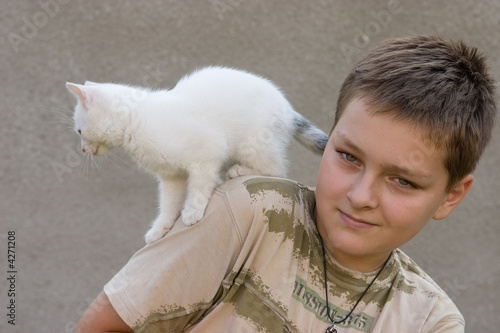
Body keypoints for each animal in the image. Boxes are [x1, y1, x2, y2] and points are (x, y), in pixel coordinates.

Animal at [67, 66, 328, 243]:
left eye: (79, 131)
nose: (82, 149)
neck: (136, 119)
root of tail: (288, 110)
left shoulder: (208, 152)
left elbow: (200, 186)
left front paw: (192, 211)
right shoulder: (171, 176)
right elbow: (168, 203)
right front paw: (160, 228)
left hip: (252, 145)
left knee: (276, 170)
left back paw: (238, 170)